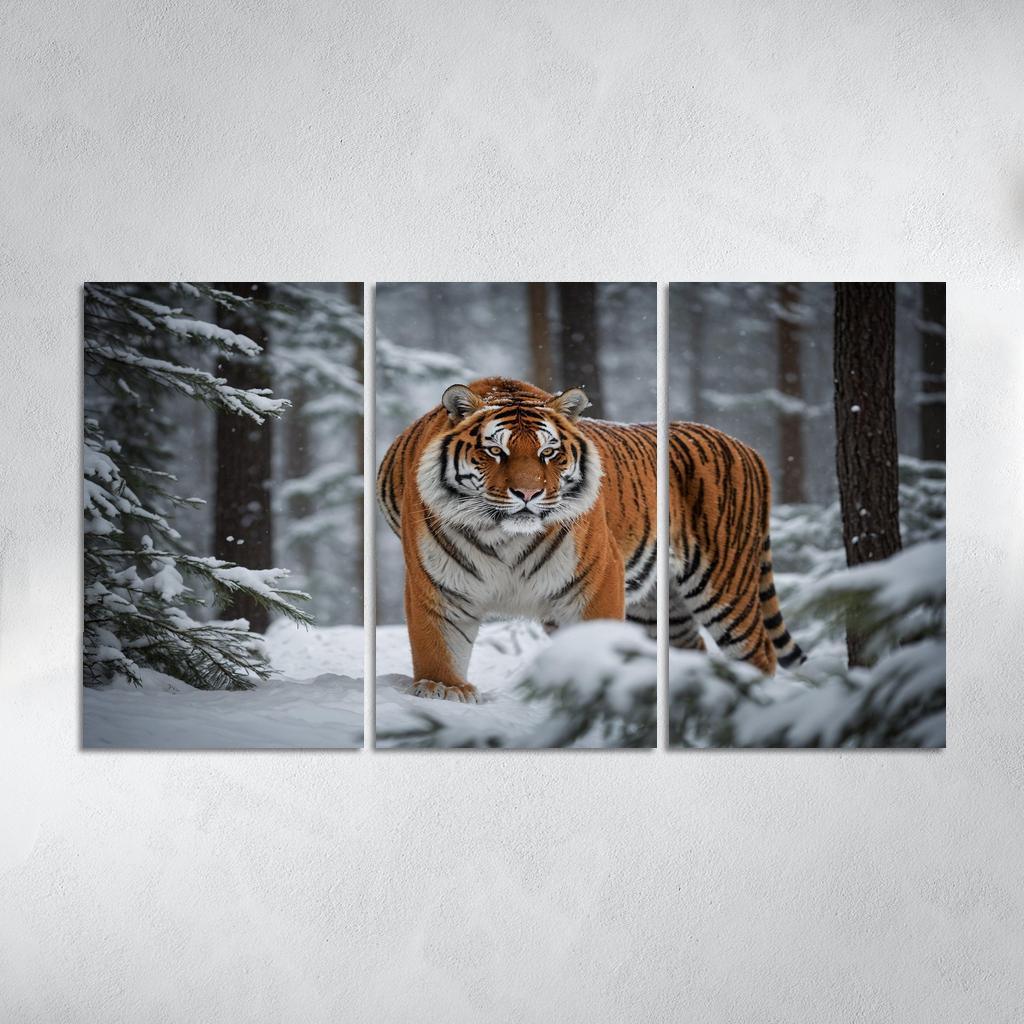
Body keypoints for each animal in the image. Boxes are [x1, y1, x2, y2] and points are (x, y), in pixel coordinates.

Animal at [377, 376, 803, 703]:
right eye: (495, 450)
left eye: (549, 452)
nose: (528, 493)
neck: (505, 537)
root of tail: (746, 446)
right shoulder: (438, 585)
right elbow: (438, 645)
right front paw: (443, 689)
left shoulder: (597, 576)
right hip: (658, 603)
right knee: (692, 648)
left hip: (724, 581)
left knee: (759, 652)